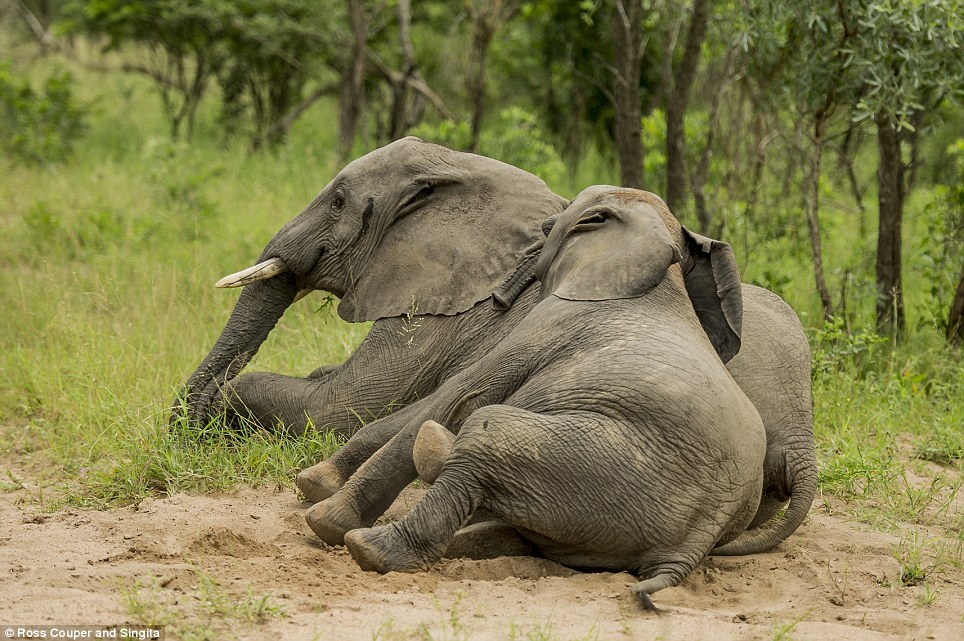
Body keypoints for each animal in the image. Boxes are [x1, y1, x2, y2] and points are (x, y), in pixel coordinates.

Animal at [316, 186, 768, 604]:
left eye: (551, 228)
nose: (499, 298)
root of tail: (692, 548)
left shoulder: (552, 320)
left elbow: (462, 391)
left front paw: (324, 516)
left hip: (606, 465)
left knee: (485, 433)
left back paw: (368, 546)